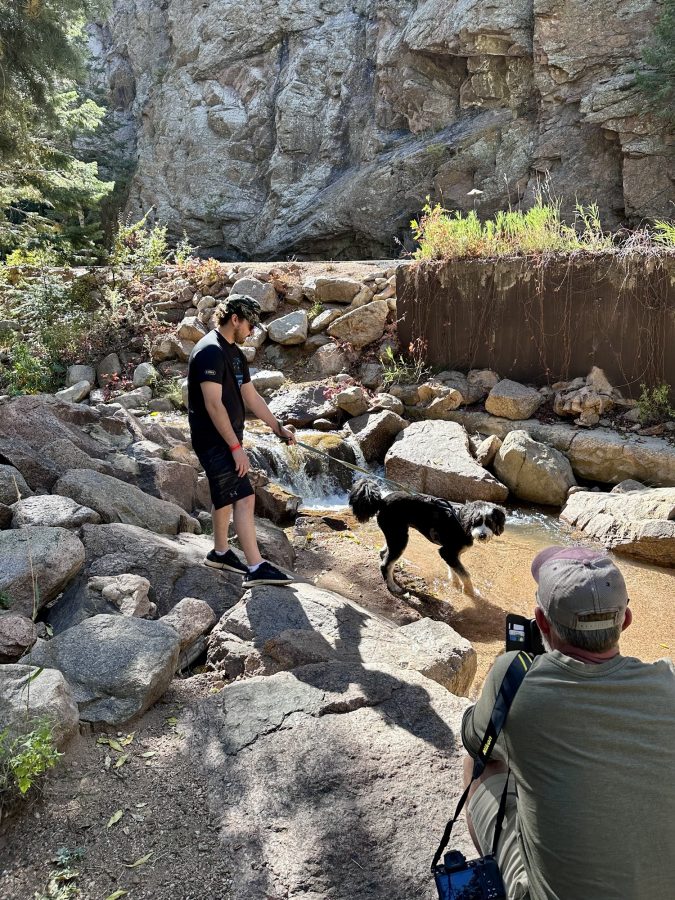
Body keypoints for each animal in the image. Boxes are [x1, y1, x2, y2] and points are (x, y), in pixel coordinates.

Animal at [348, 478, 506, 597]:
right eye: (476, 522)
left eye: (490, 523)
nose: (482, 535)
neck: (462, 521)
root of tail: (381, 501)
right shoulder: (447, 552)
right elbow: (465, 574)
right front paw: (470, 592)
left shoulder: (451, 554)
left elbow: (455, 570)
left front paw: (455, 584)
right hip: (400, 538)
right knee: (385, 564)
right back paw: (393, 587)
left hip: (395, 535)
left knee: (383, 555)